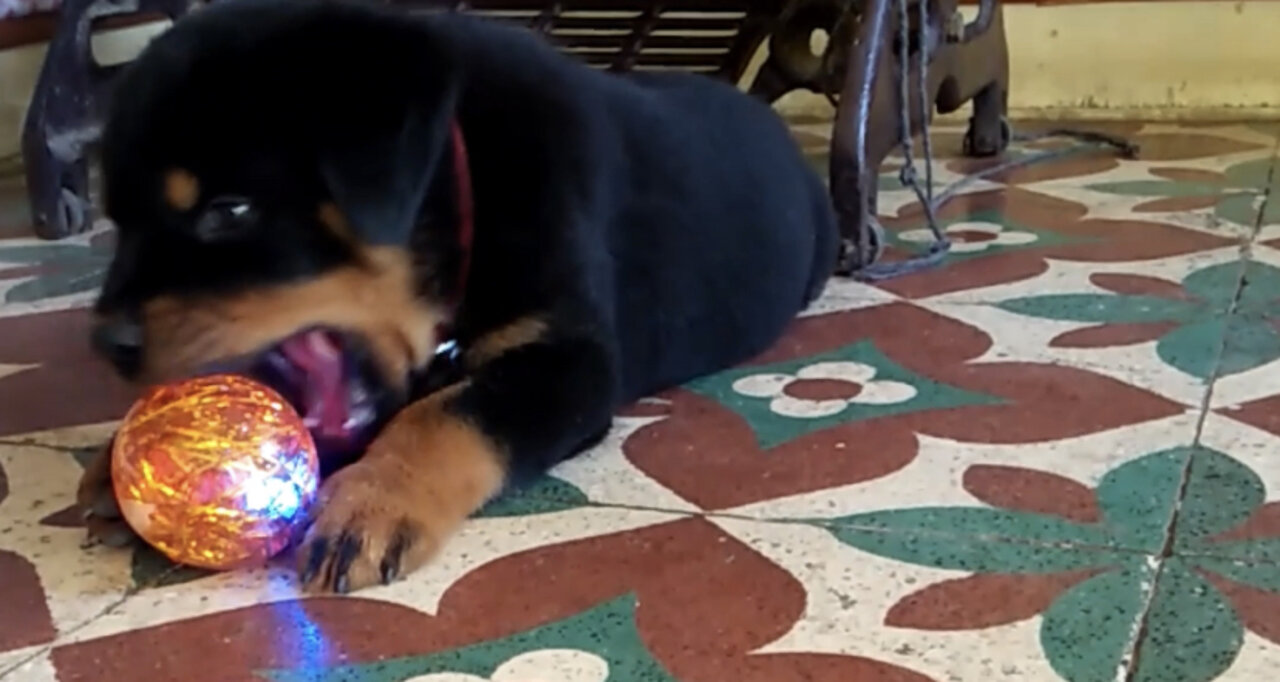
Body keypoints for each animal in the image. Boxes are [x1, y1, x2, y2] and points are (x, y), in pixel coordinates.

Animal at [80, 0, 839, 591]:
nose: (108, 343)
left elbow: (449, 412)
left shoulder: (569, 361)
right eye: (117, 220)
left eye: (229, 212)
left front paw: (374, 504)